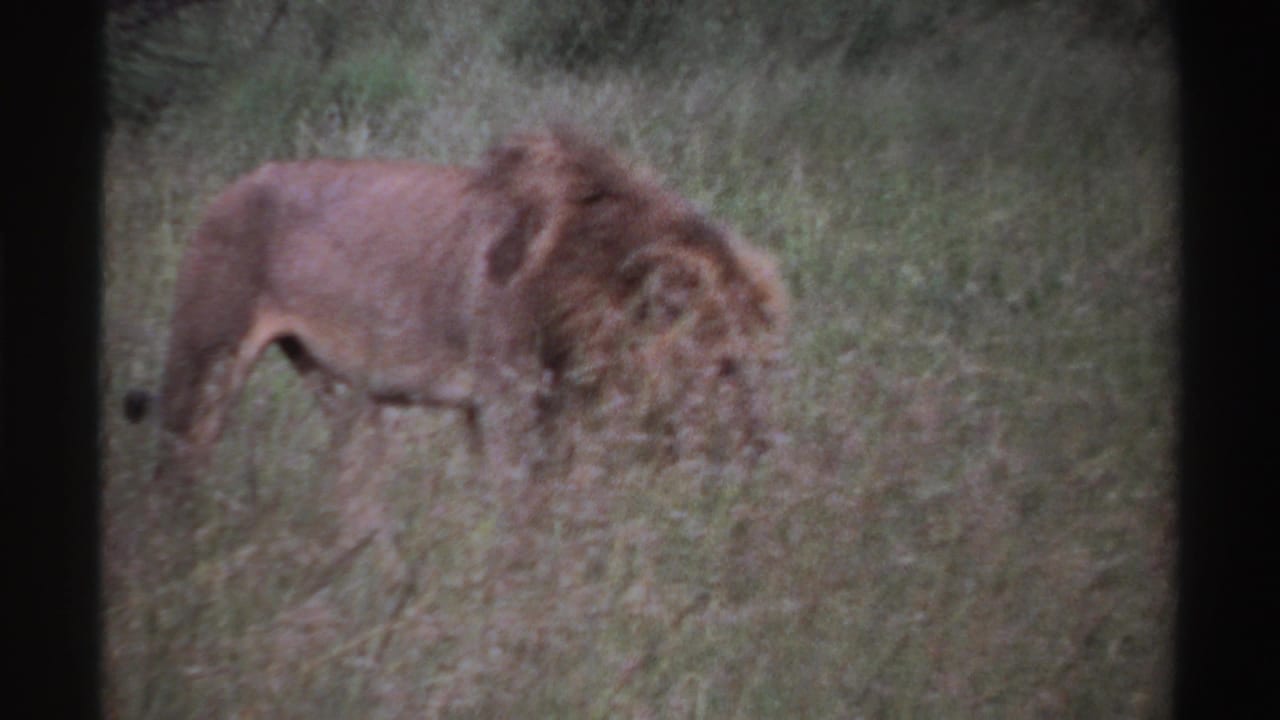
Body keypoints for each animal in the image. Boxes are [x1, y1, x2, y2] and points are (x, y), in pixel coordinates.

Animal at [127, 127, 788, 521]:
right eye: (726, 366)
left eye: (766, 365)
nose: (760, 451)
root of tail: (227, 190)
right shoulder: (507, 401)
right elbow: (519, 507)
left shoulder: (540, 410)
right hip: (205, 360)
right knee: (171, 475)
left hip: (337, 387)